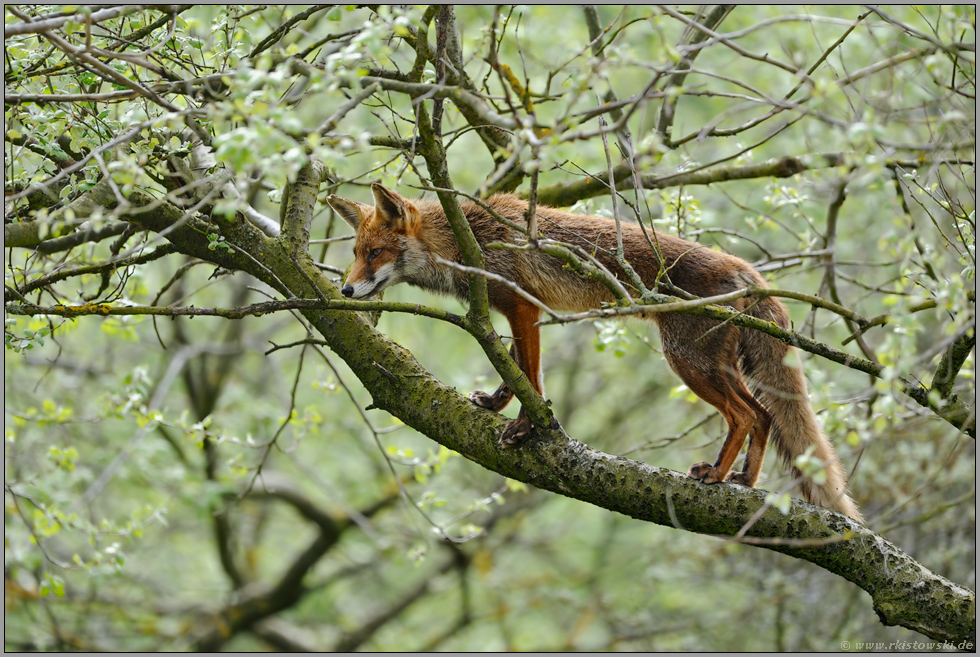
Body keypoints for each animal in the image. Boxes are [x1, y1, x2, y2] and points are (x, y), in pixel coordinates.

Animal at [326, 183, 860, 524]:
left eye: (374, 253)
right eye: (355, 253)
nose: (346, 290)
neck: (468, 237)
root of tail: (749, 271)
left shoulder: (522, 305)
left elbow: (530, 376)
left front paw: (525, 426)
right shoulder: (523, 312)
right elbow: (514, 370)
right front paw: (497, 404)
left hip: (688, 362)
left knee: (746, 415)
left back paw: (717, 475)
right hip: (716, 366)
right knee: (765, 417)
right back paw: (745, 480)